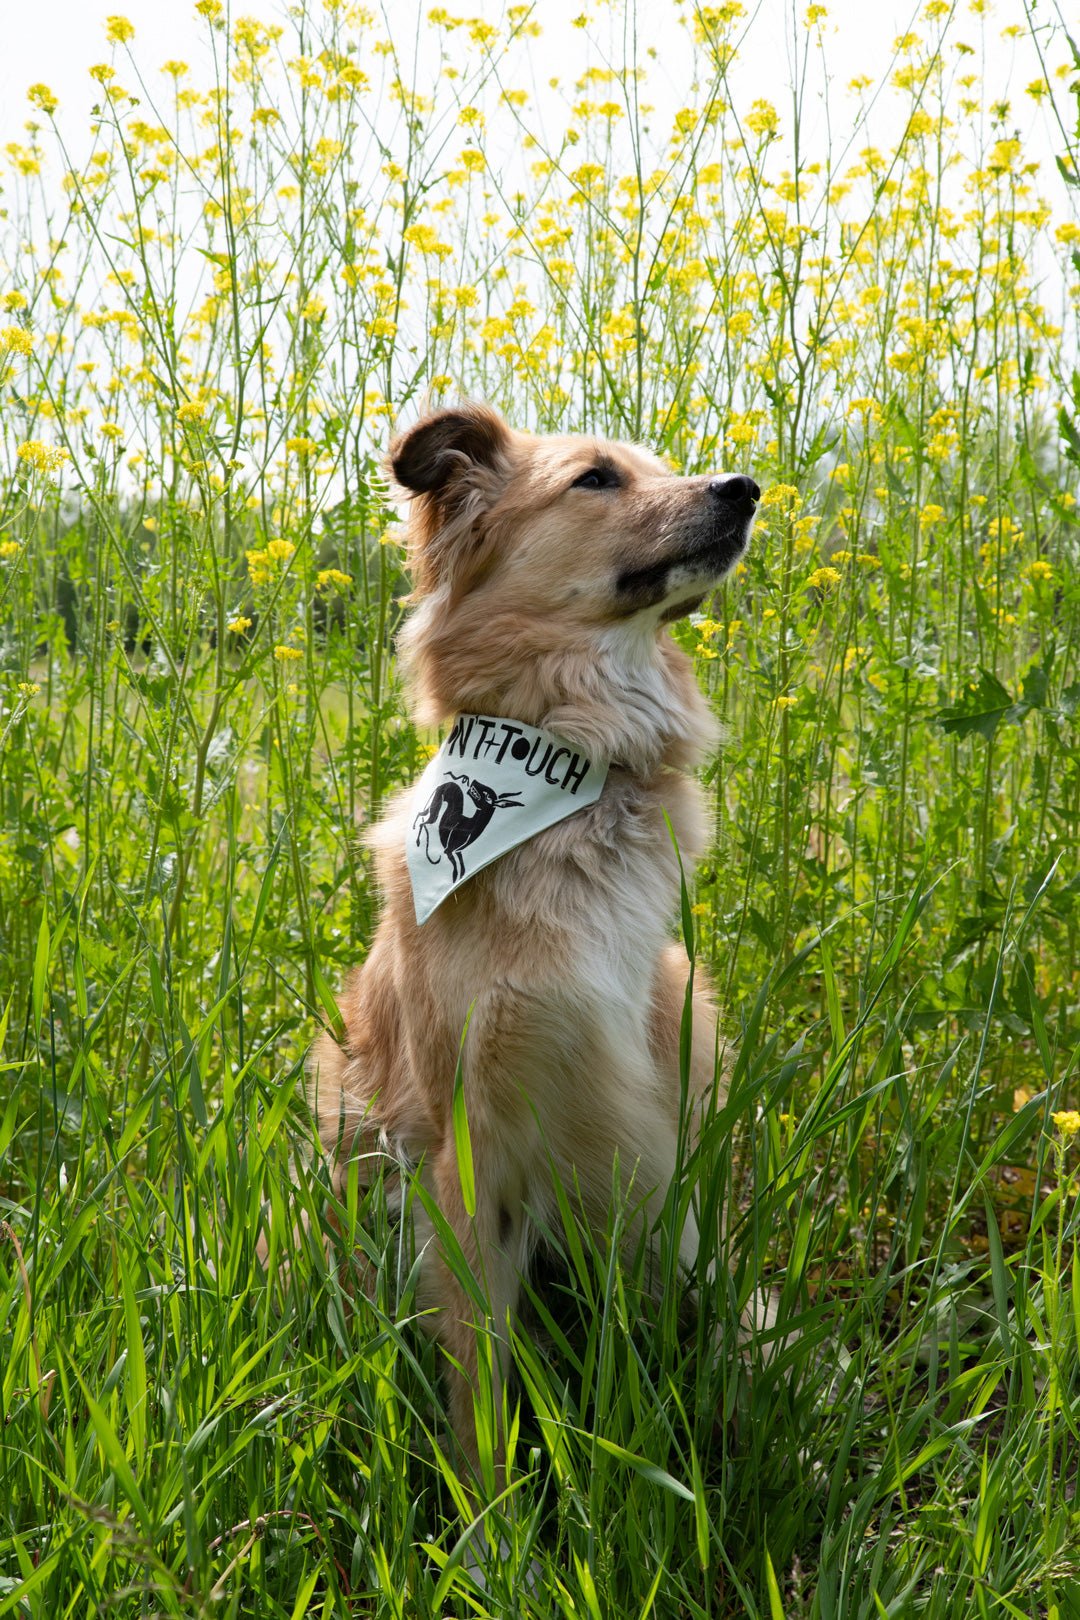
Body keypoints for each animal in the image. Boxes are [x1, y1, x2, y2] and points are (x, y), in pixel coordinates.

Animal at [304, 405, 761, 1483]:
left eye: (660, 465)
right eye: (594, 479)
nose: (746, 487)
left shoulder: (663, 1109)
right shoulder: (473, 1147)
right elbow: (481, 1380)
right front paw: (491, 1522)